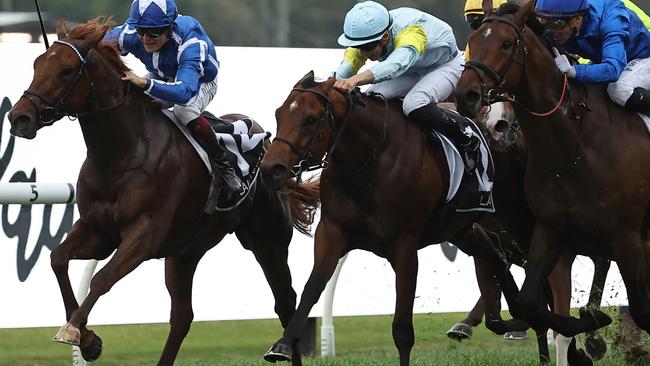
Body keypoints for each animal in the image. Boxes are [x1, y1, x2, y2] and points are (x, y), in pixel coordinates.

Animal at [5, 18, 318, 364]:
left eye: (66, 70)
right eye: (37, 64)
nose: (19, 117)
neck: (124, 155)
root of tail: (268, 145)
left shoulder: (144, 235)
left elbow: (101, 279)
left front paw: (75, 331)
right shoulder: (97, 231)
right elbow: (58, 259)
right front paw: (88, 341)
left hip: (267, 241)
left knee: (286, 302)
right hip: (185, 252)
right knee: (182, 316)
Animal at [258, 71, 520, 366]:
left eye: (311, 119)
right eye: (279, 114)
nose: (270, 169)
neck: (370, 158)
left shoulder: (404, 246)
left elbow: (402, 330)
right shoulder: (332, 232)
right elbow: (312, 288)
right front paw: (281, 344)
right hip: (459, 229)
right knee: (496, 253)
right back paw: (516, 315)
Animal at [454, 0, 644, 338]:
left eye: (506, 44)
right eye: (472, 42)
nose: (467, 95)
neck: (572, 154)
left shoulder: (627, 238)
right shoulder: (548, 229)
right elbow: (528, 303)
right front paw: (591, 320)